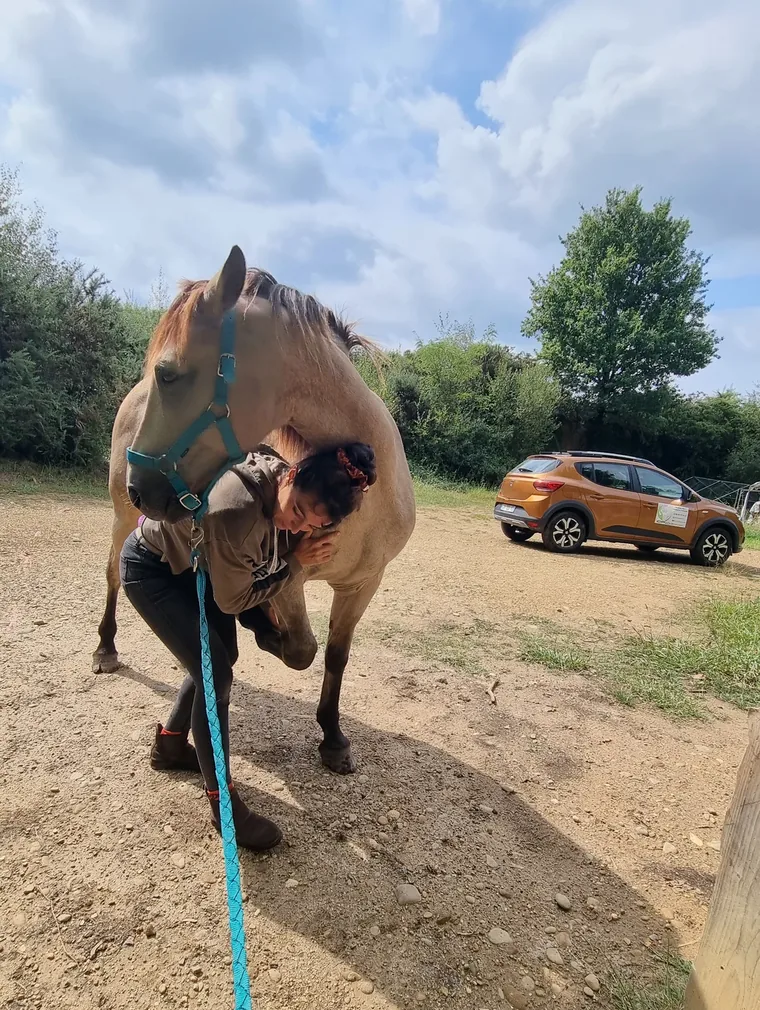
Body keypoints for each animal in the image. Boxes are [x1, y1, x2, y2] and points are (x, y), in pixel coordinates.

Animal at [92, 245, 416, 775]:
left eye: (169, 373)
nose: (142, 488)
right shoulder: (291, 578)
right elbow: (302, 649)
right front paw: (267, 633)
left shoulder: (363, 583)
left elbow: (335, 656)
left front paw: (333, 737)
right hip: (123, 521)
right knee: (114, 575)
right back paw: (106, 646)